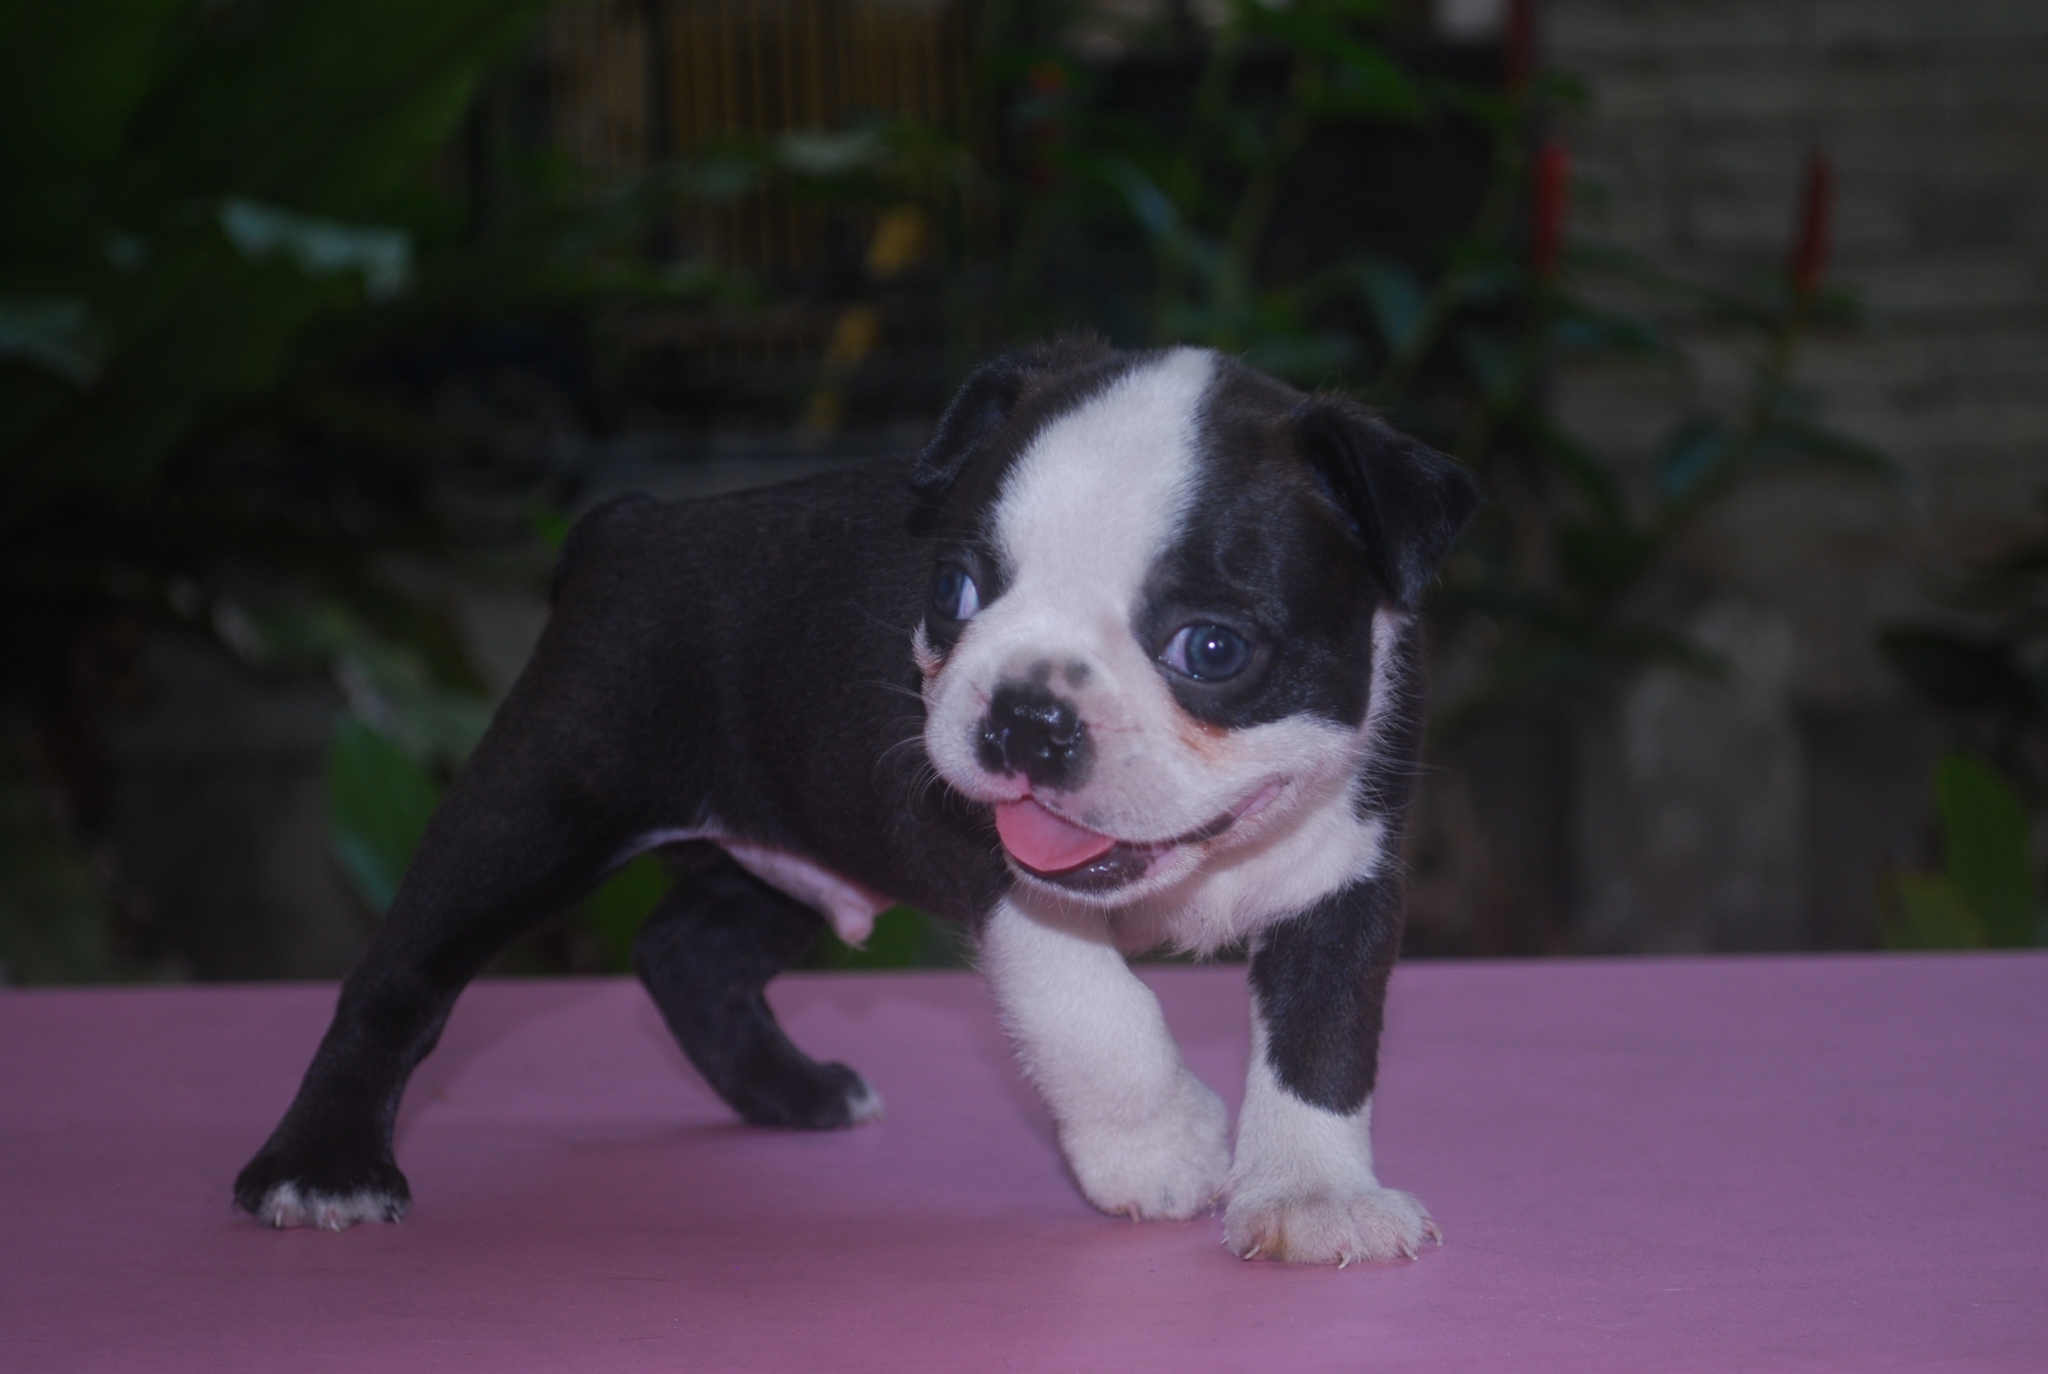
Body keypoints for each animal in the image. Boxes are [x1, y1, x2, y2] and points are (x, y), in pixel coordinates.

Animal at [234, 338, 1480, 1266]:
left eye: (1212, 648)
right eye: (954, 591)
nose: (1026, 715)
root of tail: (625, 522)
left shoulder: (1342, 877)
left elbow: (1322, 1040)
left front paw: (1309, 1195)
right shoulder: (995, 871)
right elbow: (1091, 1008)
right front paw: (1157, 1145)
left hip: (779, 838)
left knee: (685, 950)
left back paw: (789, 1093)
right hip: (537, 804)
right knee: (404, 973)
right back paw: (321, 1168)